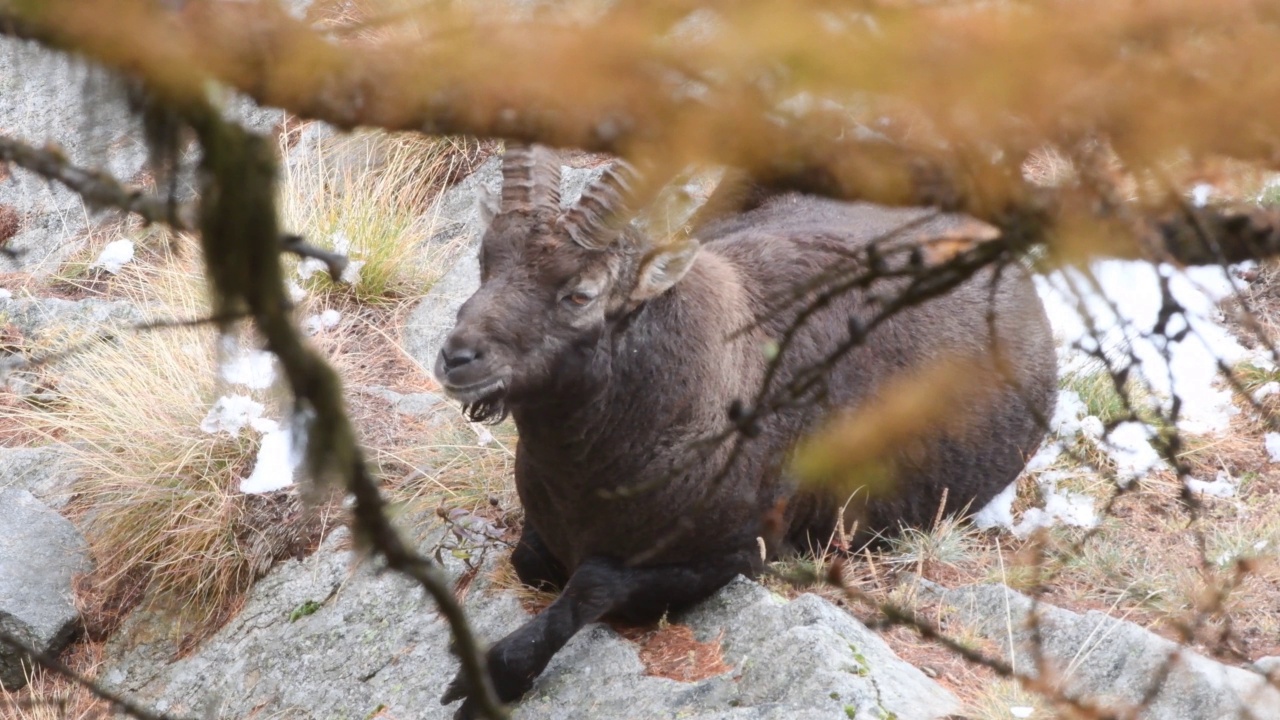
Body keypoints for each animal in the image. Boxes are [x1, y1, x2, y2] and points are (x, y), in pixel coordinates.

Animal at [435, 142, 1054, 712]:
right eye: (486, 259)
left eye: (580, 293)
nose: (458, 357)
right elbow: (531, 562)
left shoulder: (743, 553)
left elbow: (593, 583)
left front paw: (487, 677)